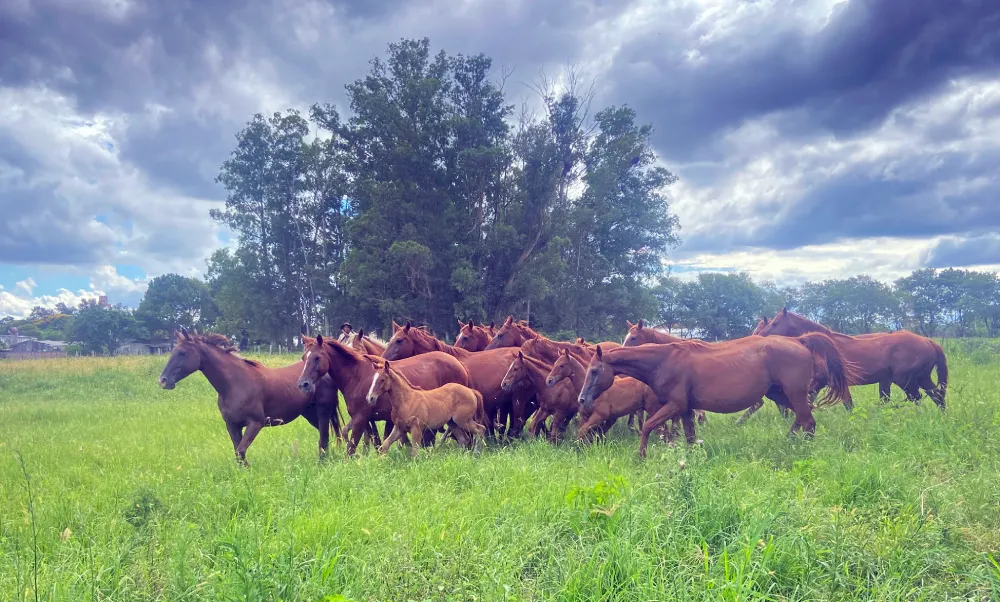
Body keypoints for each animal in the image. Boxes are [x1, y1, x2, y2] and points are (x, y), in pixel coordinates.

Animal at [158, 329, 343, 466]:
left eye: (182, 353)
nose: (163, 380)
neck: (234, 384)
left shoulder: (255, 423)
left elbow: (241, 451)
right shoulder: (232, 425)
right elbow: (238, 453)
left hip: (323, 412)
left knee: (325, 438)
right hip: (310, 414)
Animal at [297, 334, 470, 456]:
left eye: (317, 357)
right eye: (304, 357)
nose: (303, 384)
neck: (357, 376)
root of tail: (459, 364)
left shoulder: (361, 418)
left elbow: (351, 447)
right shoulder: (365, 419)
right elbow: (366, 439)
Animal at [579, 335, 855, 458]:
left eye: (594, 371)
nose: (582, 400)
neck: (663, 361)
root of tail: (800, 341)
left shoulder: (675, 405)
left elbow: (648, 426)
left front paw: (641, 456)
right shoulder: (686, 409)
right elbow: (690, 437)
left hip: (792, 394)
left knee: (808, 421)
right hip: (780, 394)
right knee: (802, 418)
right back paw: (789, 443)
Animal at [758, 308, 947, 408]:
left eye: (775, 323)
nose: (760, 335)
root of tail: (929, 341)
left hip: (906, 380)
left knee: (919, 398)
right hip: (921, 378)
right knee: (937, 396)